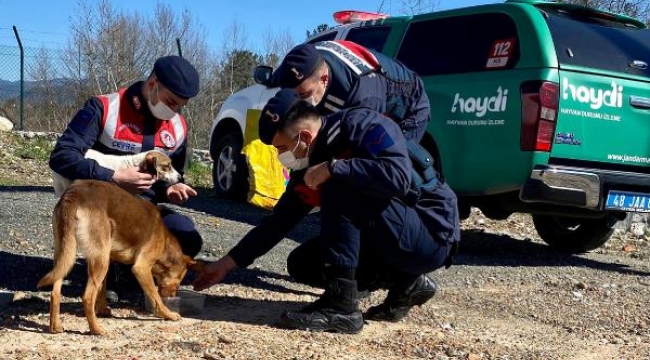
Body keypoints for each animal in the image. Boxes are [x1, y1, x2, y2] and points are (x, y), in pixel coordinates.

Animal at [36, 180, 195, 334]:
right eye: (179, 279)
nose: (173, 296)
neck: (165, 241)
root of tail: (74, 194)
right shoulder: (141, 268)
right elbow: (156, 298)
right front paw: (168, 314)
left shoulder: (108, 259)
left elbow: (102, 289)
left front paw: (102, 310)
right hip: (98, 260)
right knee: (87, 297)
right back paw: (96, 329)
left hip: (67, 254)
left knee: (55, 292)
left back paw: (55, 327)